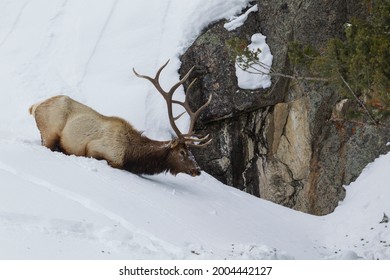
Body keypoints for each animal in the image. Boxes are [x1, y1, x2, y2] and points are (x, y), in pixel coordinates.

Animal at [29, 60, 213, 176]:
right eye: (182, 152)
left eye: (190, 152)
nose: (198, 170)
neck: (131, 154)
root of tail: (34, 106)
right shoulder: (97, 150)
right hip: (50, 132)